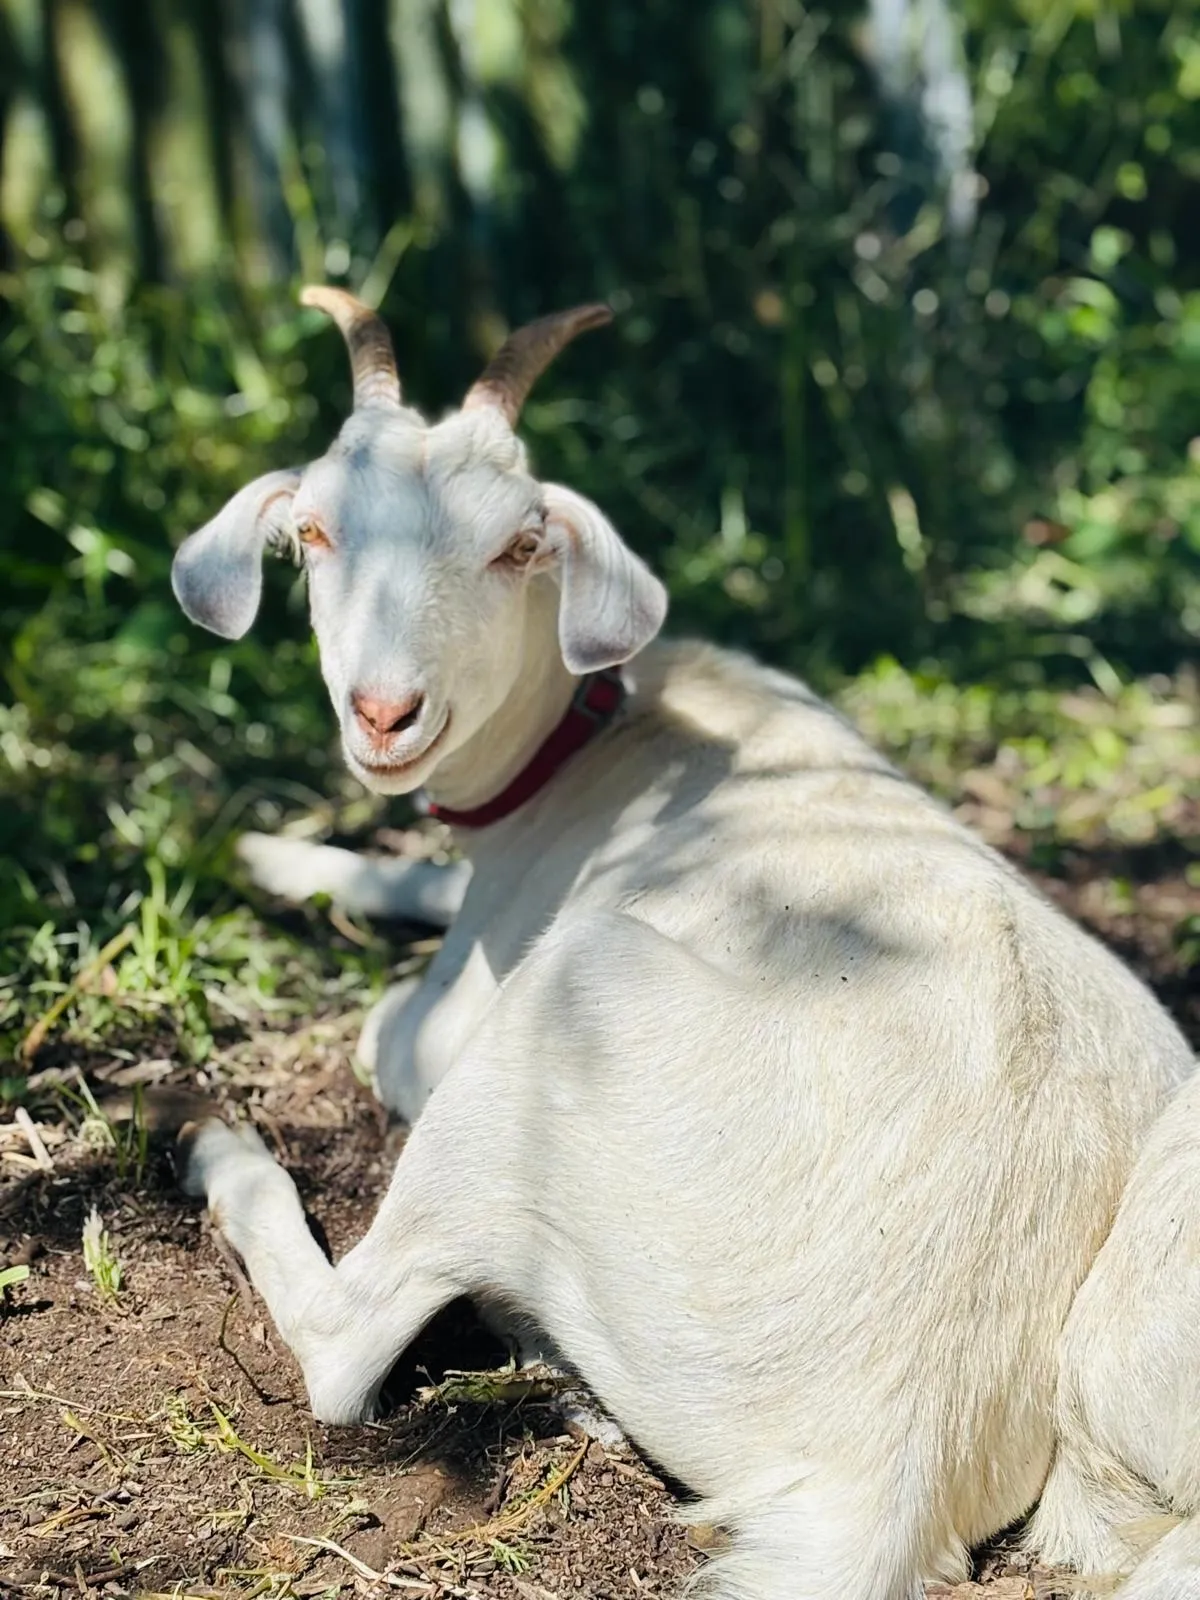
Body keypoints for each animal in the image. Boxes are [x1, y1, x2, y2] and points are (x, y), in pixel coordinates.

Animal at [171, 287, 1199, 1600]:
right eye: (312, 531)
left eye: (520, 547)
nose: (386, 714)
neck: (605, 741)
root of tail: (896, 1464)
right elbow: (409, 869)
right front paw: (270, 853)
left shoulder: (461, 1002)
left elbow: (382, 1025)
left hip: (552, 1021)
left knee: (348, 1345)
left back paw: (216, 1142)